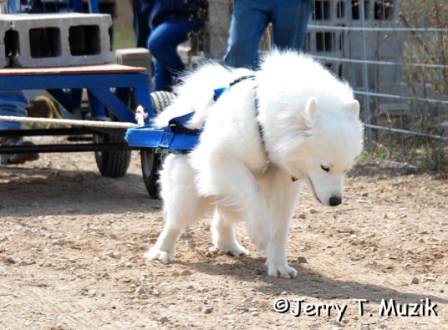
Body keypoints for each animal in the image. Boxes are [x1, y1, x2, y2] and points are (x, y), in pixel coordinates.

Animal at [145, 50, 362, 278]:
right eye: (324, 167)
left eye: (346, 169)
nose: (336, 201)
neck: (261, 121)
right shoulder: (222, 159)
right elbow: (252, 192)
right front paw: (260, 233)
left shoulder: (284, 183)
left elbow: (280, 229)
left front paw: (280, 266)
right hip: (189, 194)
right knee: (175, 222)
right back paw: (162, 251)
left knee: (223, 218)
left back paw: (229, 245)